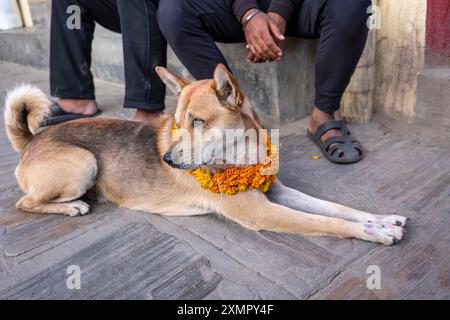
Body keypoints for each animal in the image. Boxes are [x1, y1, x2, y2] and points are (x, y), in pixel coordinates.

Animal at [3, 64, 408, 245]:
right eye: (176, 123)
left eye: (198, 122)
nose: (167, 161)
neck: (242, 155)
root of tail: (32, 140)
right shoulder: (260, 211)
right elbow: (326, 222)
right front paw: (373, 232)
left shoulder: (276, 191)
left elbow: (335, 208)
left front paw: (381, 219)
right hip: (83, 162)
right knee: (25, 203)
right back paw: (72, 206)